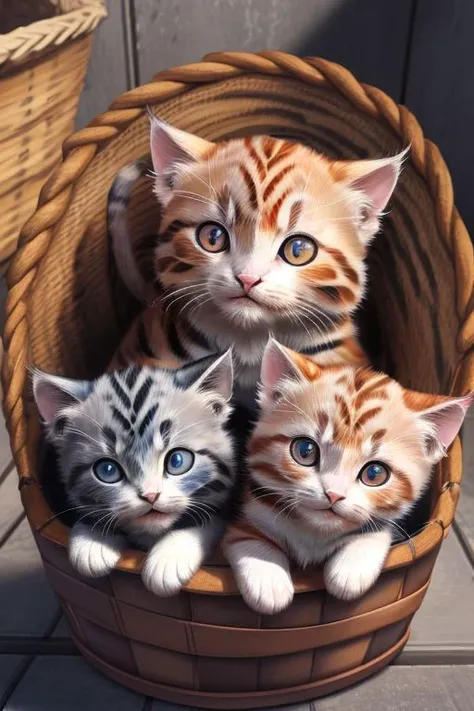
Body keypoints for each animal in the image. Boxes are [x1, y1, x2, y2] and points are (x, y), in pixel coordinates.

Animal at [31, 354, 235, 596]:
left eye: (177, 461)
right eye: (108, 470)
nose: (150, 496)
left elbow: (208, 516)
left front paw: (168, 558)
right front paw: (93, 540)